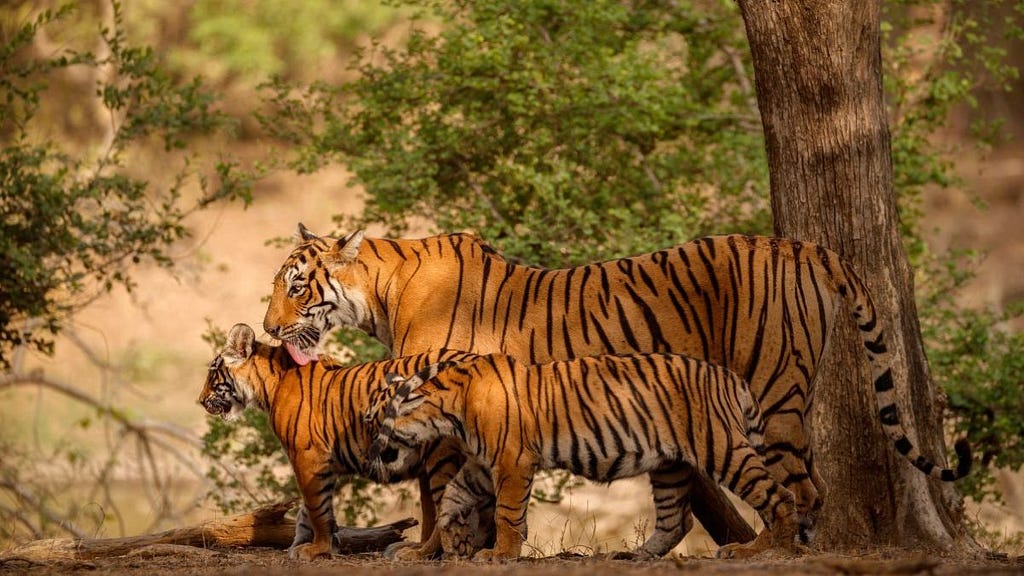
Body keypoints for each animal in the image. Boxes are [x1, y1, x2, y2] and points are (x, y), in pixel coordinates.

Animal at [199, 323, 487, 561]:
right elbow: (309, 511)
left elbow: (317, 509)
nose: (201, 401)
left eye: (213, 372)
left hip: (441, 456)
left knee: (446, 513)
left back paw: (419, 554)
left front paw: (317, 549)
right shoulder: (322, 462)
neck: (269, 385)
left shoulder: (308, 457)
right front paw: (311, 545)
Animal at [264, 223, 942, 545]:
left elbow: (436, 493)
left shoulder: (438, 413)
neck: (380, 295)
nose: (267, 328)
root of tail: (801, 246)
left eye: (295, 286)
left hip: (774, 387)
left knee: (802, 487)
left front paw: (428, 550)